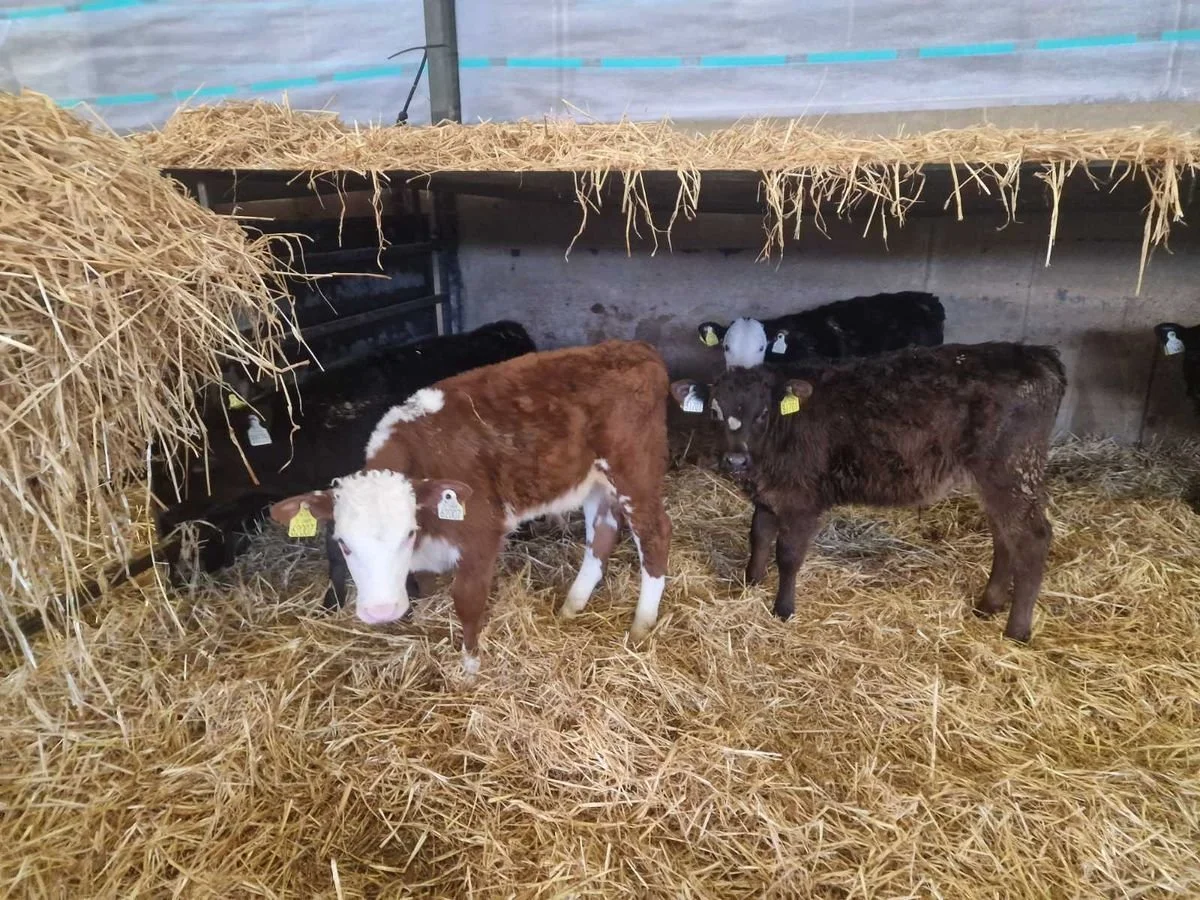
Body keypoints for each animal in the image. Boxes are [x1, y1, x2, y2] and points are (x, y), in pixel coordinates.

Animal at [266, 340, 673, 671]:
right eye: (344, 544)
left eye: (407, 533)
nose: (382, 611)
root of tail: (635, 348)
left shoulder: (481, 533)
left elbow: (467, 600)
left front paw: (470, 668)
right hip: (593, 483)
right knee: (602, 534)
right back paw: (571, 607)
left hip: (634, 472)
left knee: (655, 534)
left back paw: (641, 624)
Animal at [671, 342, 1066, 643]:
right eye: (715, 410)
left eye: (763, 412)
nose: (736, 459)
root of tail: (1038, 354)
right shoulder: (769, 496)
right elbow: (759, 536)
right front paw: (749, 584)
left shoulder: (802, 501)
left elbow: (788, 555)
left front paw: (783, 609)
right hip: (997, 482)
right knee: (1005, 538)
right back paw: (988, 605)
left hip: (1013, 471)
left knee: (1033, 539)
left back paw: (1017, 631)